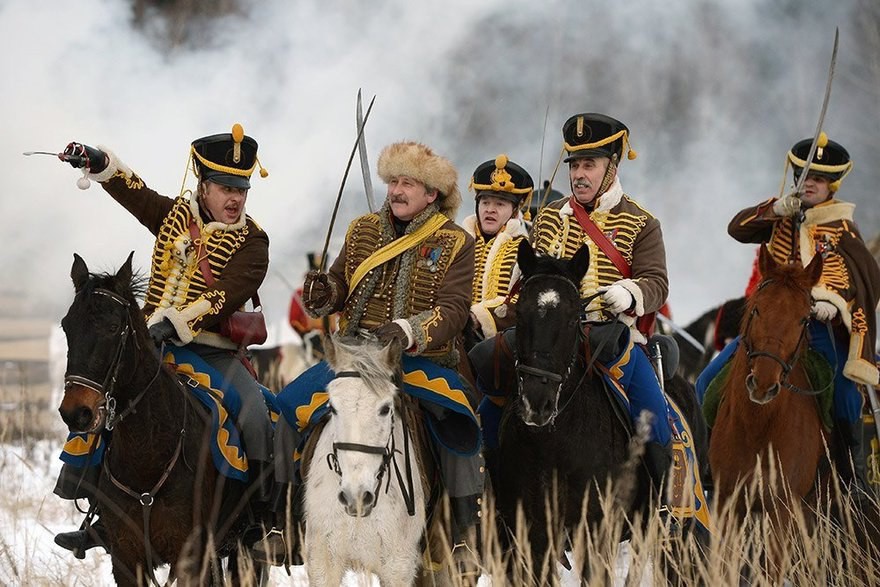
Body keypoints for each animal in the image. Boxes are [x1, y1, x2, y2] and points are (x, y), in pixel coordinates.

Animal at [58, 255, 262, 584]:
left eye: (113, 327)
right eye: (67, 326)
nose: (76, 412)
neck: (147, 457)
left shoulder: (192, 558)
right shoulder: (126, 558)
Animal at [496, 241, 708, 584]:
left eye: (573, 318)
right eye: (521, 312)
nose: (536, 403)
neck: (552, 445)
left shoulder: (597, 534)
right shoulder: (532, 537)